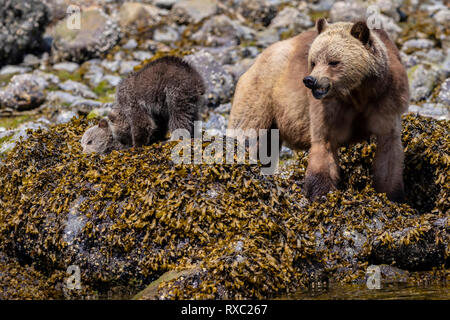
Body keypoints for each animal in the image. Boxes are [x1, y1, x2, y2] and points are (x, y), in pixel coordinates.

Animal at [230, 18, 410, 201]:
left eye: (333, 61)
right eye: (313, 61)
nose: (310, 80)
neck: (358, 94)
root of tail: (258, 59)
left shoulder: (386, 100)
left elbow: (388, 150)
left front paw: (392, 195)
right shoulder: (328, 109)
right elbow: (324, 144)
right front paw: (322, 194)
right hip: (261, 97)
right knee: (248, 134)